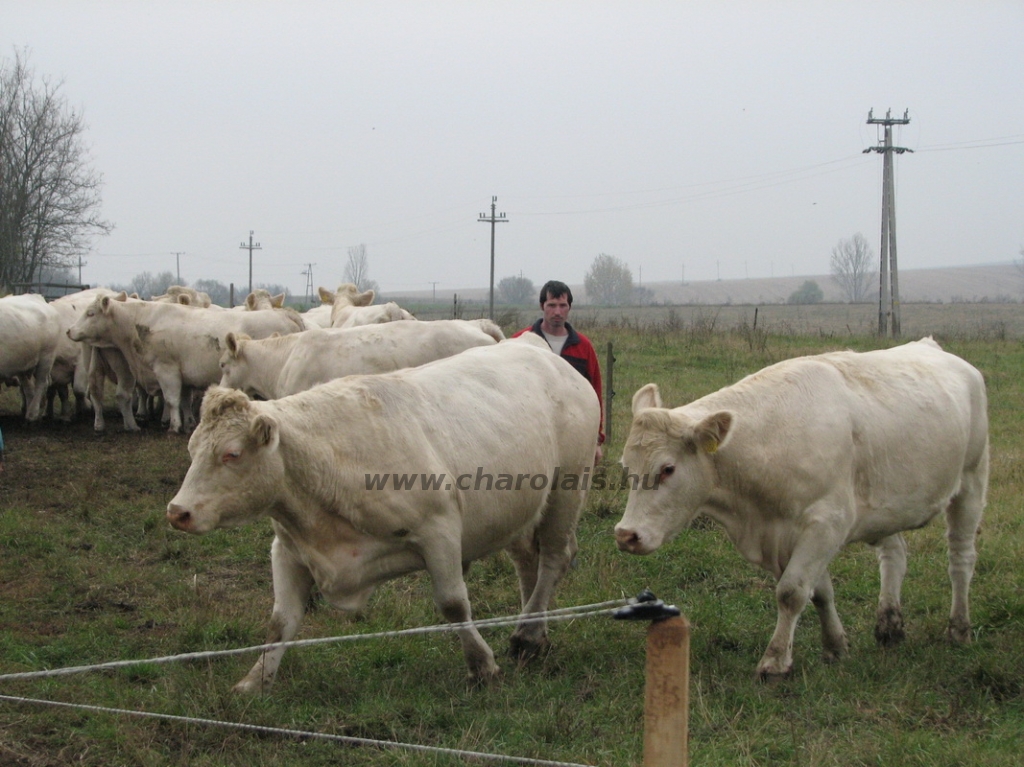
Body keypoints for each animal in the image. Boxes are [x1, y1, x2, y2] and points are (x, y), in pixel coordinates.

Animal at [0, 294, 61, 423]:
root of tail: (37, 297)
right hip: (23, 365)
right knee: (28, 388)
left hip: (47, 357)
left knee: (41, 383)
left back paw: (32, 414)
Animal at [65, 290, 299, 430]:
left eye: (91, 313)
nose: (69, 330)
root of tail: (288, 315)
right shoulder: (184, 374)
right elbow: (184, 400)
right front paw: (187, 422)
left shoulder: (166, 369)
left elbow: (171, 399)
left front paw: (174, 426)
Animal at [166, 337, 598, 692]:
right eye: (191, 449)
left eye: (232, 454)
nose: (177, 511)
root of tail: (538, 349)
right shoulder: (288, 549)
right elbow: (280, 622)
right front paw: (255, 681)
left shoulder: (439, 530)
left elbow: (453, 603)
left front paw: (481, 665)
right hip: (521, 510)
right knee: (528, 561)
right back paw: (532, 629)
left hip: (567, 489)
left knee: (554, 558)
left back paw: (528, 635)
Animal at [610, 337, 987, 679]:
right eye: (626, 466)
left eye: (668, 468)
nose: (627, 535)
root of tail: (932, 346)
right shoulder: (792, 534)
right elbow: (819, 592)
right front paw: (835, 645)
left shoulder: (826, 523)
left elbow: (791, 592)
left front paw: (776, 661)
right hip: (886, 505)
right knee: (894, 555)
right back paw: (889, 626)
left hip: (971, 481)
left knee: (960, 559)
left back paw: (959, 628)